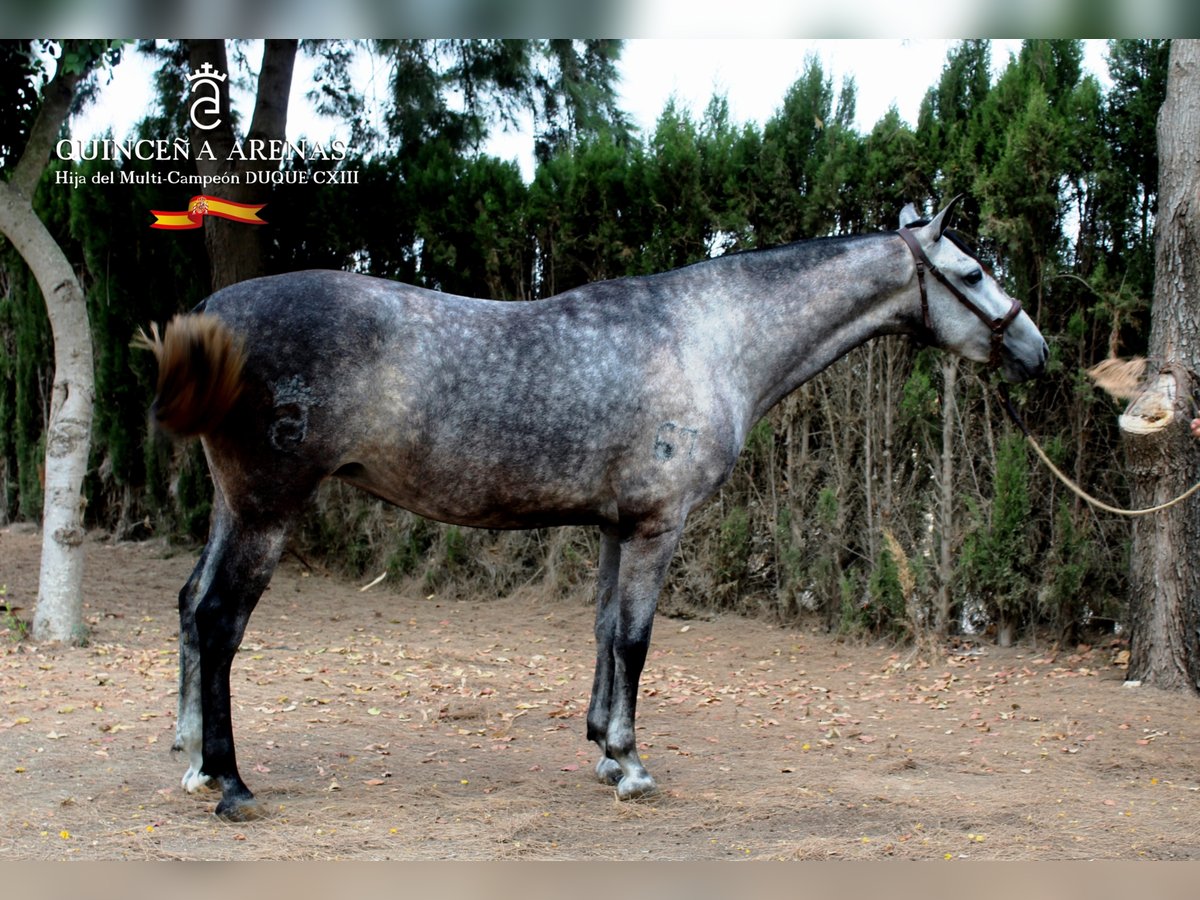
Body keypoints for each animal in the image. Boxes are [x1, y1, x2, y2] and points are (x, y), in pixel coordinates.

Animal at [138, 199, 1041, 825]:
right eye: (971, 274)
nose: (1035, 348)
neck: (708, 337)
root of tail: (214, 314)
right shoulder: (656, 526)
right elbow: (636, 642)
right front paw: (633, 767)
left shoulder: (615, 526)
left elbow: (606, 632)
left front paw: (604, 751)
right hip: (267, 510)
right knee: (219, 621)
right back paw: (232, 784)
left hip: (232, 508)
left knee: (189, 604)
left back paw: (192, 761)